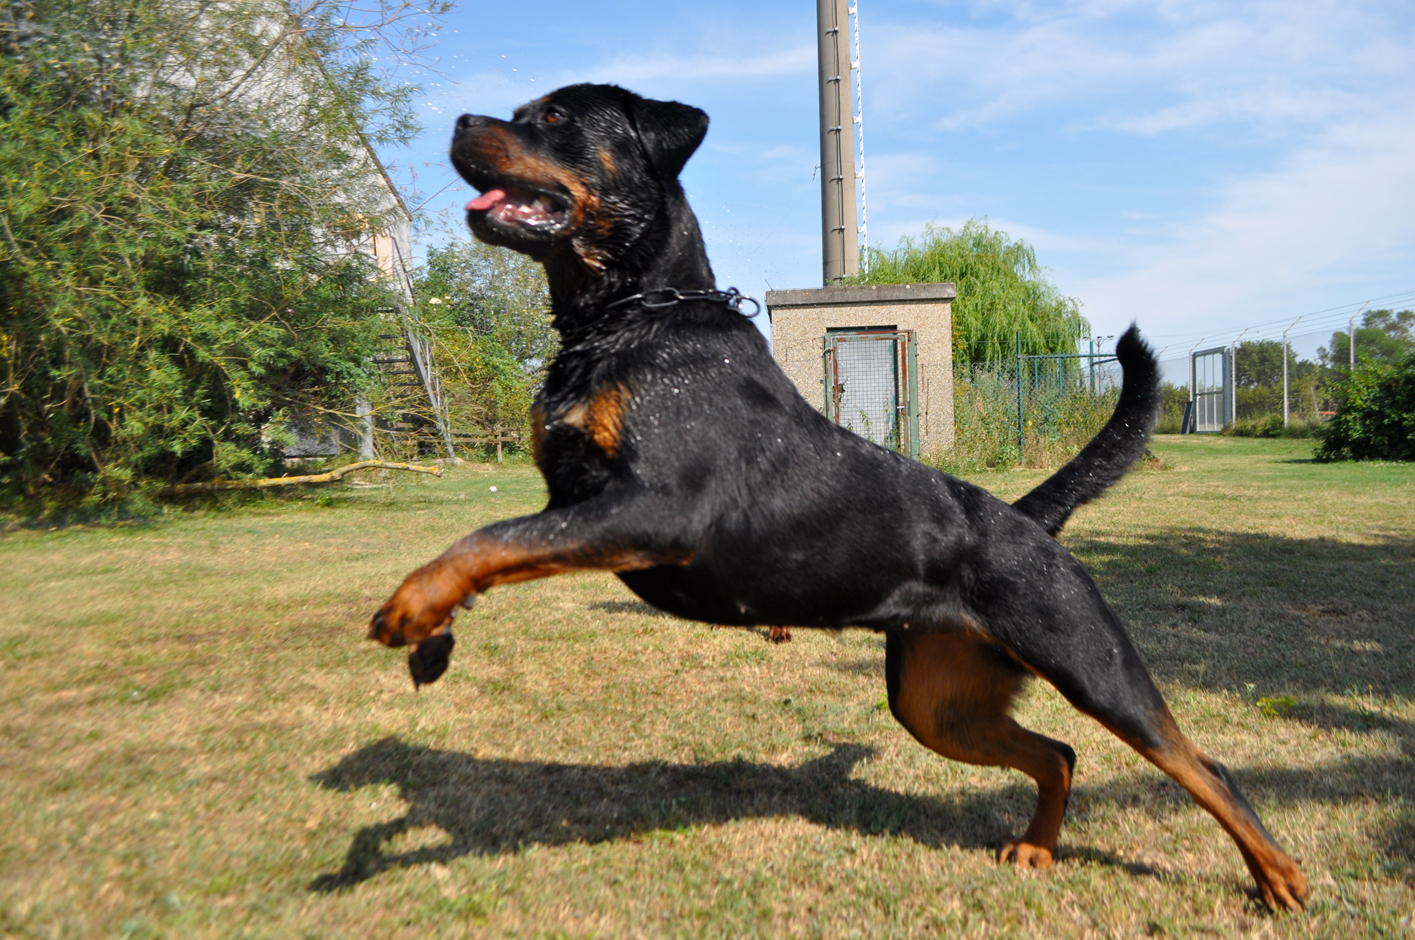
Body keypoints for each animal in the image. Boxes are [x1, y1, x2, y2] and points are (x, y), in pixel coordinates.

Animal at [370, 82, 1307, 911]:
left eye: (557, 118)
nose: (460, 121)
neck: (631, 320)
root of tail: (1025, 519)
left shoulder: (655, 510)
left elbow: (488, 535)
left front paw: (410, 603)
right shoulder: (574, 500)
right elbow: (498, 539)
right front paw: (433, 630)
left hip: (1089, 662)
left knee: (1200, 766)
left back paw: (1278, 878)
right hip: (934, 702)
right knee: (1060, 753)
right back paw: (1039, 848)